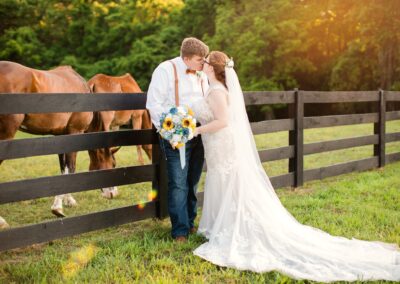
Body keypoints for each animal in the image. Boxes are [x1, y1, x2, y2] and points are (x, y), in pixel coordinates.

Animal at [0, 61, 92, 219]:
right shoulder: (75, 132)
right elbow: (71, 167)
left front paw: (66, 201)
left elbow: (63, 168)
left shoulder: (61, 136)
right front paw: (60, 206)